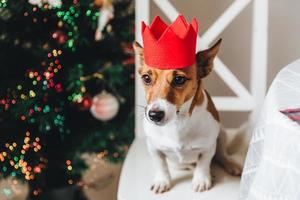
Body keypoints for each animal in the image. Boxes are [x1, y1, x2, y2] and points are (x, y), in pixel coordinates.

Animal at [135, 14, 243, 193]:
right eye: (146, 78)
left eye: (179, 79)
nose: (155, 115)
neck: (178, 121)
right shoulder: (154, 148)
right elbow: (161, 165)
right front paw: (162, 181)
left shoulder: (208, 146)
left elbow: (204, 163)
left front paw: (201, 179)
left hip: (222, 134)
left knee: (222, 155)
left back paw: (231, 165)